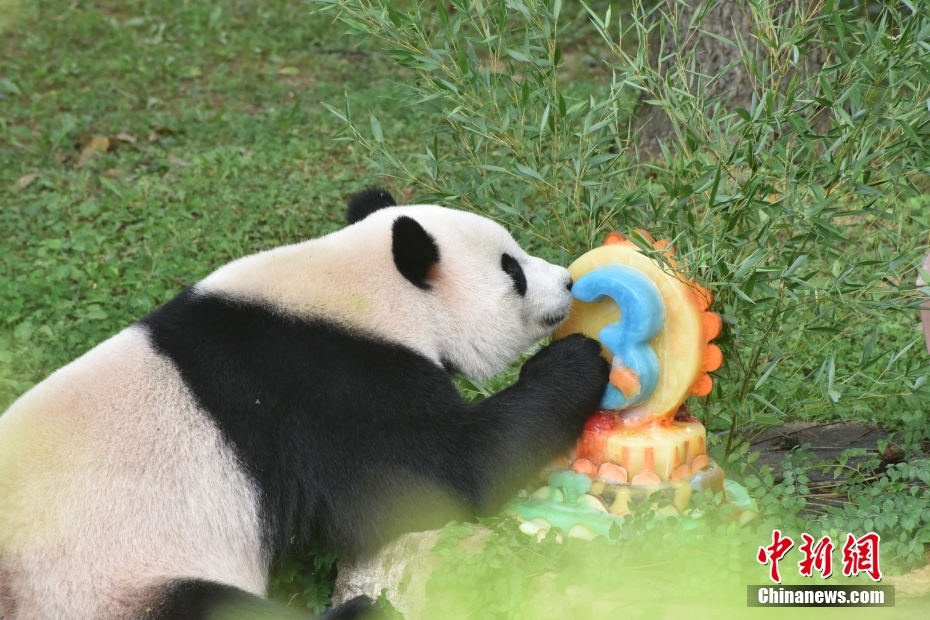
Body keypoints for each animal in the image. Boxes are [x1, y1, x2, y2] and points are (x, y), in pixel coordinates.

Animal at [0, 189, 608, 620]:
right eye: (512, 269)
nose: (567, 281)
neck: (360, 289)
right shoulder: (328, 389)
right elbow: (445, 474)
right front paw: (581, 359)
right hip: (102, 581)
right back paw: (363, 611)